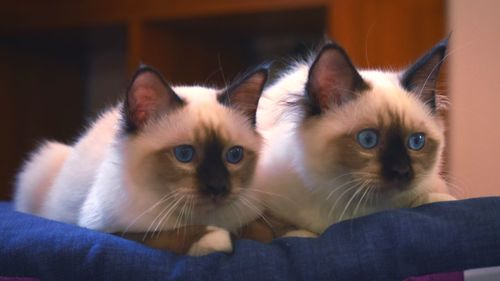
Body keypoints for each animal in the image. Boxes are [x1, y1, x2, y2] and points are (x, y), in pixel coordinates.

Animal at [13, 65, 268, 254]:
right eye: (184, 154)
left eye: (234, 156)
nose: (218, 187)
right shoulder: (103, 230)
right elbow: (158, 235)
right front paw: (217, 238)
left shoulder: (250, 213)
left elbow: (261, 231)